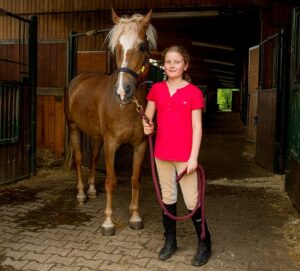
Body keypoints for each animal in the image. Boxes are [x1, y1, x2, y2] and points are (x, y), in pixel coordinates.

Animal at [65, 9, 157, 236]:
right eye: (116, 48)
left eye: (142, 46)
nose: (123, 91)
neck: (127, 107)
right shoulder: (112, 144)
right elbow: (110, 181)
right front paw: (108, 222)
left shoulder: (140, 145)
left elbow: (135, 180)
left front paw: (135, 217)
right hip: (74, 128)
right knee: (79, 159)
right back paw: (81, 194)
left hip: (97, 137)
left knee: (92, 157)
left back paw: (91, 190)